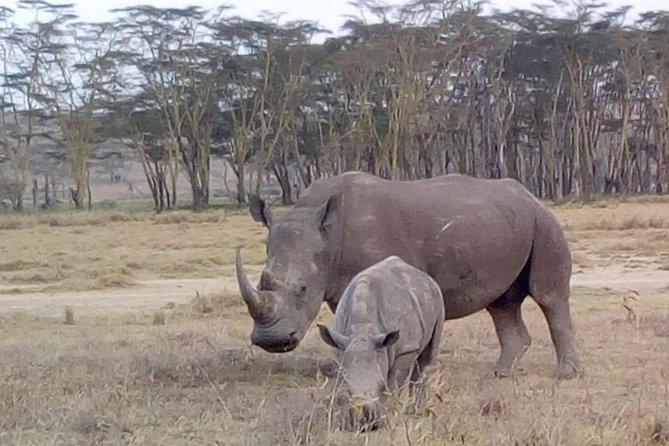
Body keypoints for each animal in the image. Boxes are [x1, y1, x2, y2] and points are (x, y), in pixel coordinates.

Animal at [235, 171, 583, 379]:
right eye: (261, 280)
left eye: (303, 289)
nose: (271, 341)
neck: (326, 235)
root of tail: (530, 195)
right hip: (505, 225)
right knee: (502, 304)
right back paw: (498, 375)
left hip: (544, 221)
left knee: (548, 296)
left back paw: (565, 374)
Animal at [317, 255, 445, 429]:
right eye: (349, 389)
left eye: (381, 385)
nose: (366, 421)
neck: (362, 330)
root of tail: (425, 277)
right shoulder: (340, 346)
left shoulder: (406, 349)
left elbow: (394, 384)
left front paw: (387, 420)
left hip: (437, 298)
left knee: (427, 358)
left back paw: (416, 412)